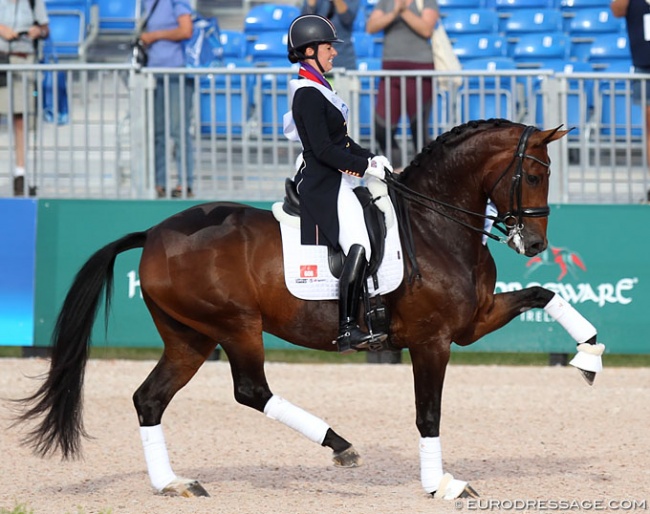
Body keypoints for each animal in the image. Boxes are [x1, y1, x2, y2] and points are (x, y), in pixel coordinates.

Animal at [13, 119, 604, 496]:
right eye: (534, 175)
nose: (533, 244)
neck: (436, 225)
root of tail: (154, 233)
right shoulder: (434, 339)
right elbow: (428, 413)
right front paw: (441, 484)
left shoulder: (472, 323)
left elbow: (545, 295)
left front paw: (590, 355)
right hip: (236, 326)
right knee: (251, 391)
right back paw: (338, 444)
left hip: (190, 337)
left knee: (149, 399)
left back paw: (172, 483)